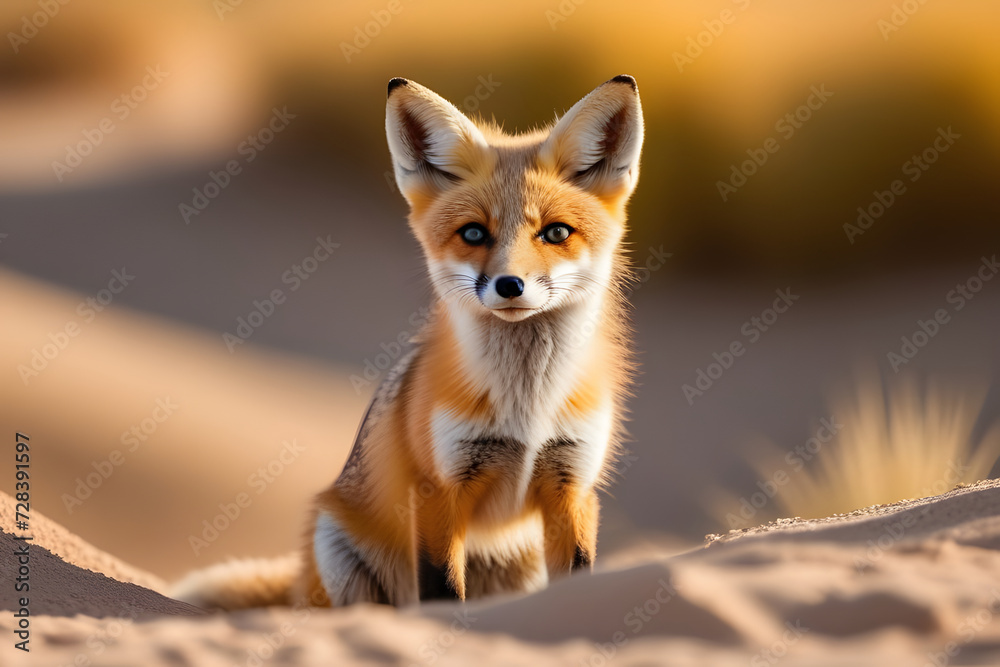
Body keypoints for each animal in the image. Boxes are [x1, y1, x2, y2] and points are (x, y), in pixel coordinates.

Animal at [173, 74, 644, 610]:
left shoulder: (573, 485)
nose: (510, 285)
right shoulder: (439, 489)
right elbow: (442, 593)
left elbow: (578, 578)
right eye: (474, 234)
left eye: (556, 232)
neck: (526, 409)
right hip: (340, 554)